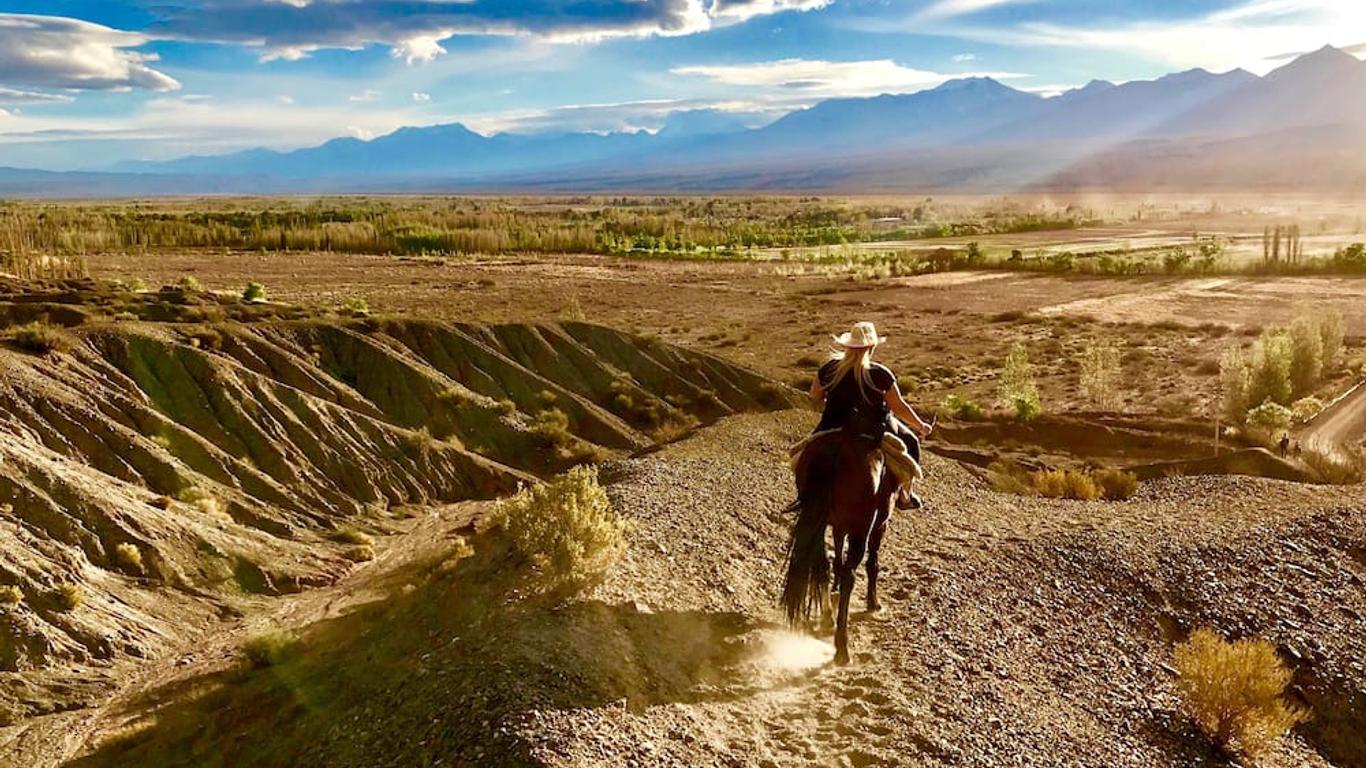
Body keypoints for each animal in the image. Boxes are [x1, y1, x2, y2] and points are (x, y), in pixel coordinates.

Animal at [781, 426, 896, 661]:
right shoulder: (879, 525)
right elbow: (872, 563)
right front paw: (873, 603)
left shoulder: (838, 526)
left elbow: (838, 558)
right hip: (861, 527)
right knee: (849, 577)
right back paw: (842, 646)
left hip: (819, 520)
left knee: (822, 564)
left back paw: (827, 616)